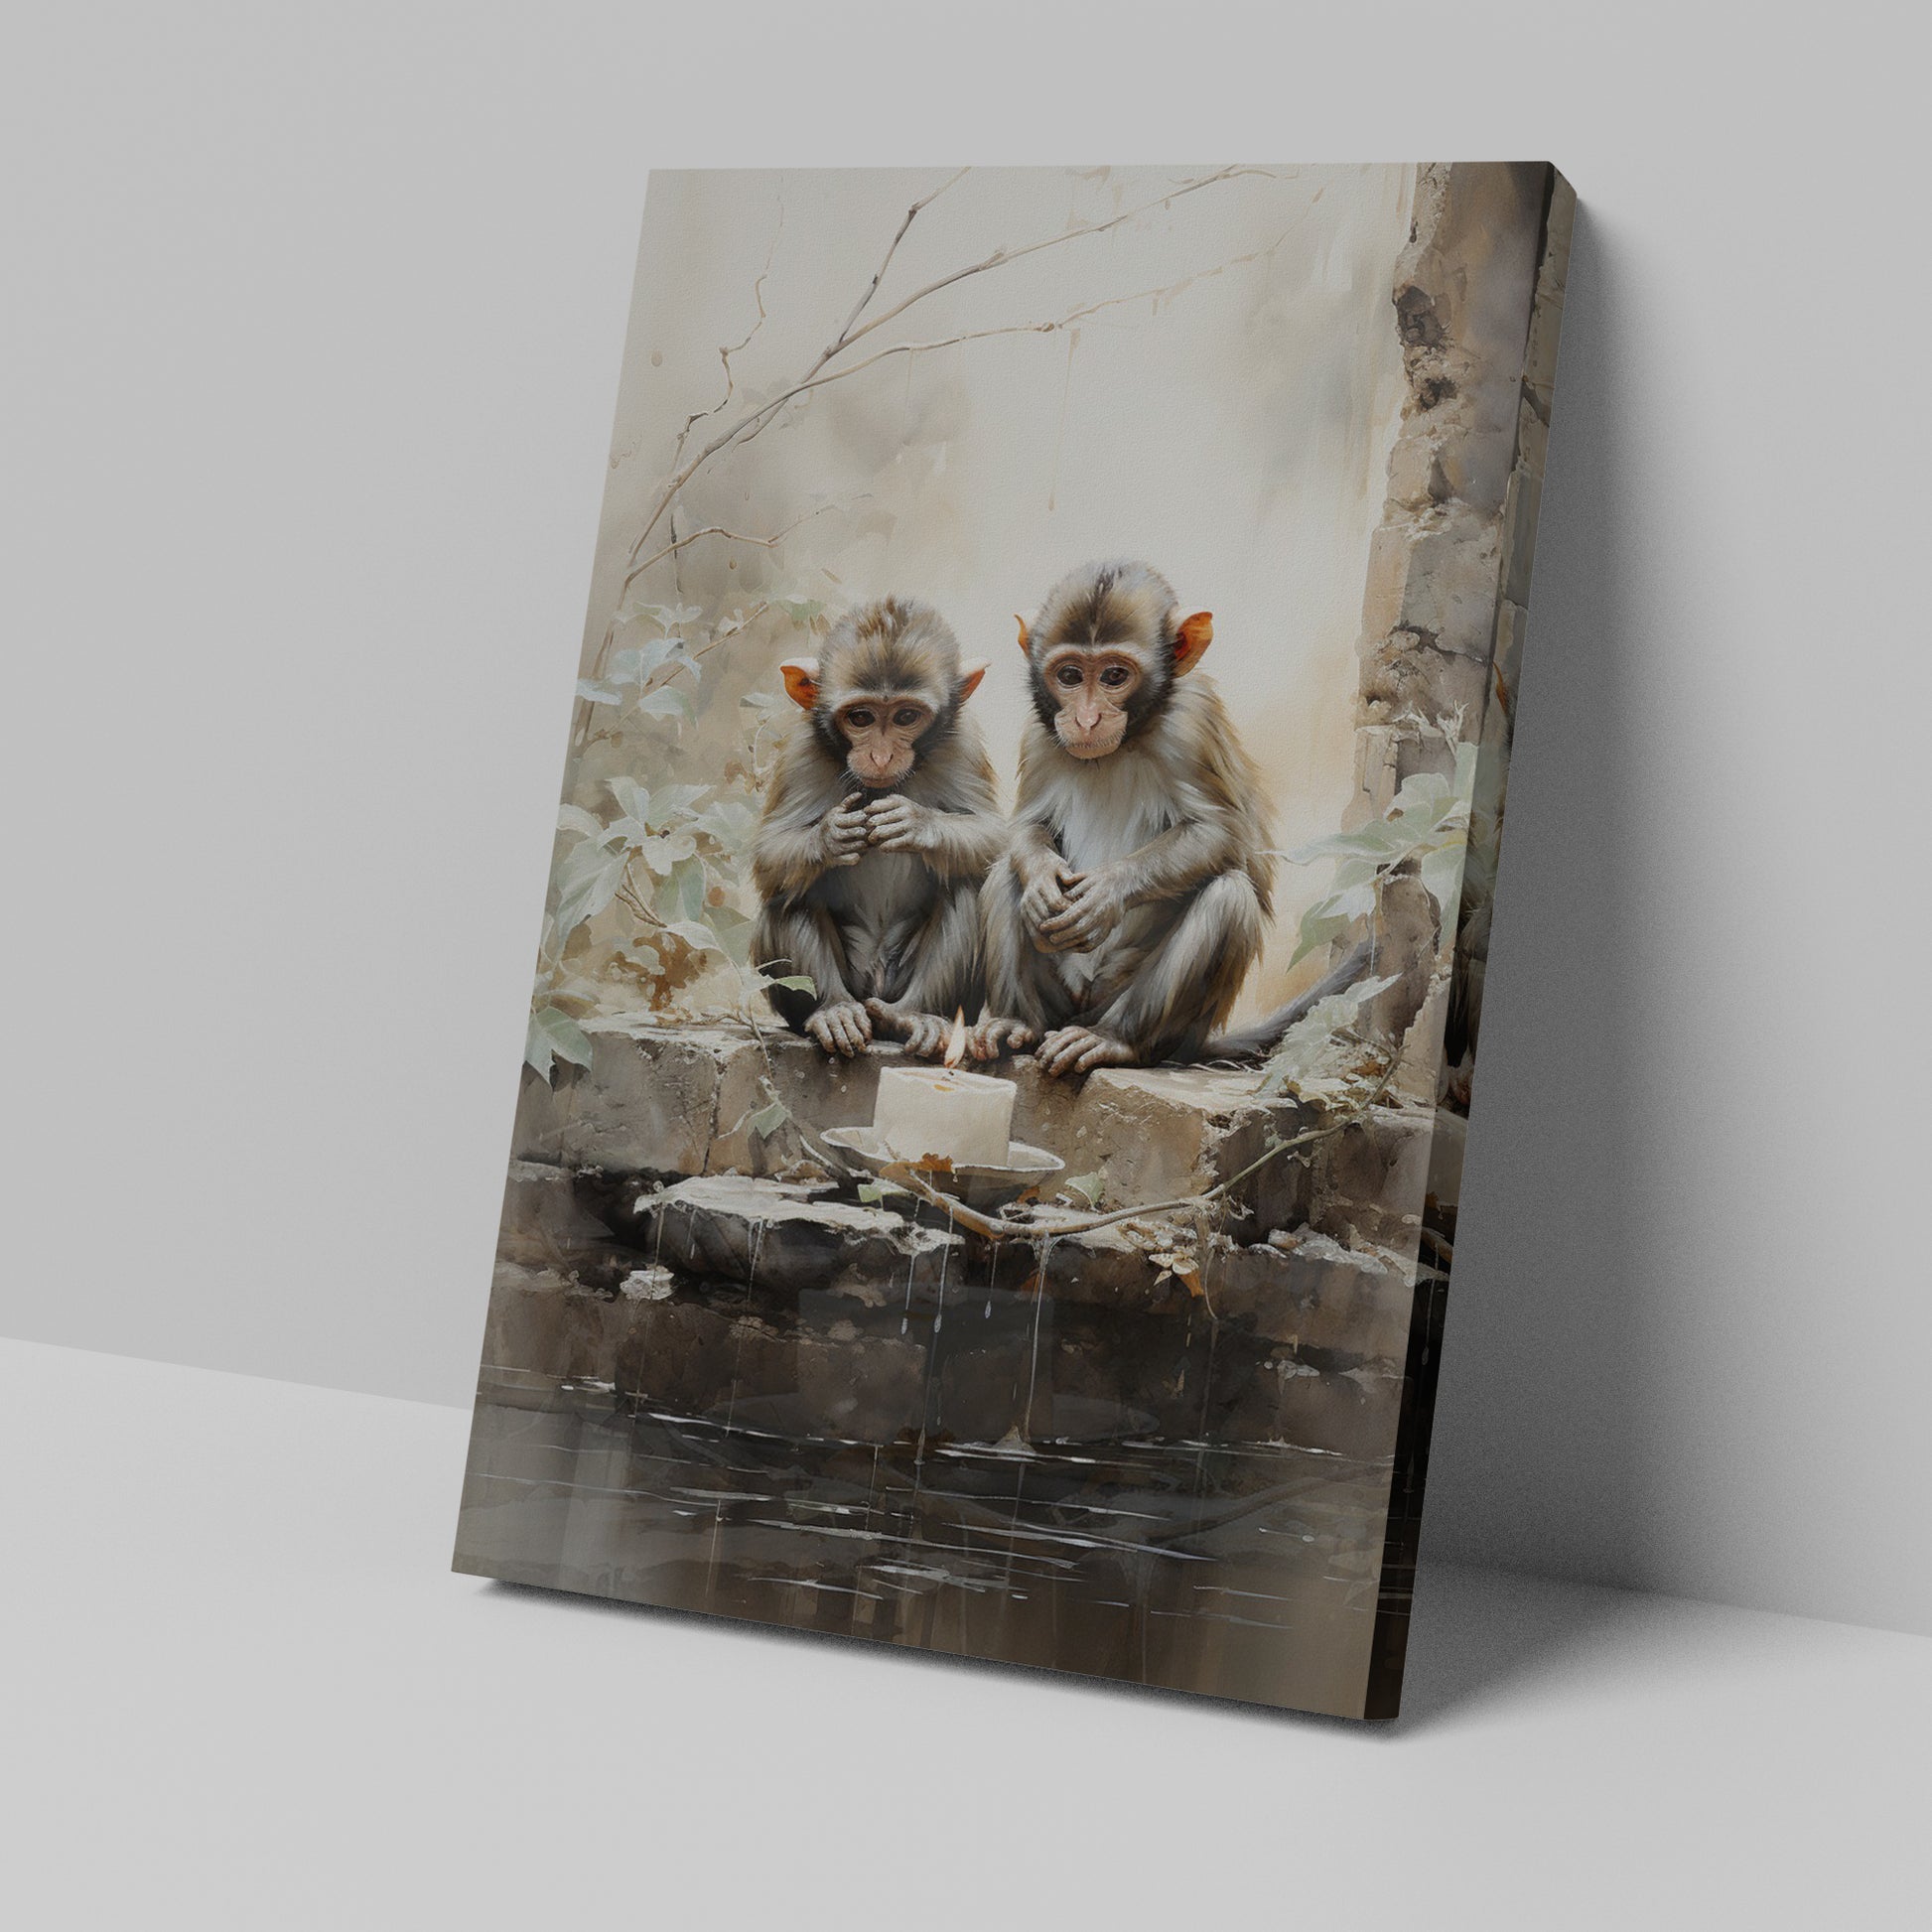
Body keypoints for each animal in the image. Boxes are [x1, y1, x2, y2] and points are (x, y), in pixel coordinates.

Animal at [750, 596, 1006, 1059]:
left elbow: (996, 836)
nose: (882, 756)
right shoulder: (800, 750)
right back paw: (832, 1010)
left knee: (967, 884)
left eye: (905, 716)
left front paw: (917, 824)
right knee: (790, 891)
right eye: (861, 717)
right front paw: (830, 837)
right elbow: (770, 854)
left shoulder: (963, 742)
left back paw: (915, 1016)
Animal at [969, 559, 1281, 1076]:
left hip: (1156, 1020)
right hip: (1059, 1000)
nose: (1086, 720)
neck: (1128, 739)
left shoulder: (1191, 723)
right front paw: (1042, 878)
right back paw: (1015, 1023)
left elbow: (1218, 834)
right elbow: (1028, 826)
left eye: (1116, 675)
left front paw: (1106, 894)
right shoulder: (1041, 732)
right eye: (1070, 675)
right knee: (1001, 876)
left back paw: (1115, 1040)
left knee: (1229, 899)